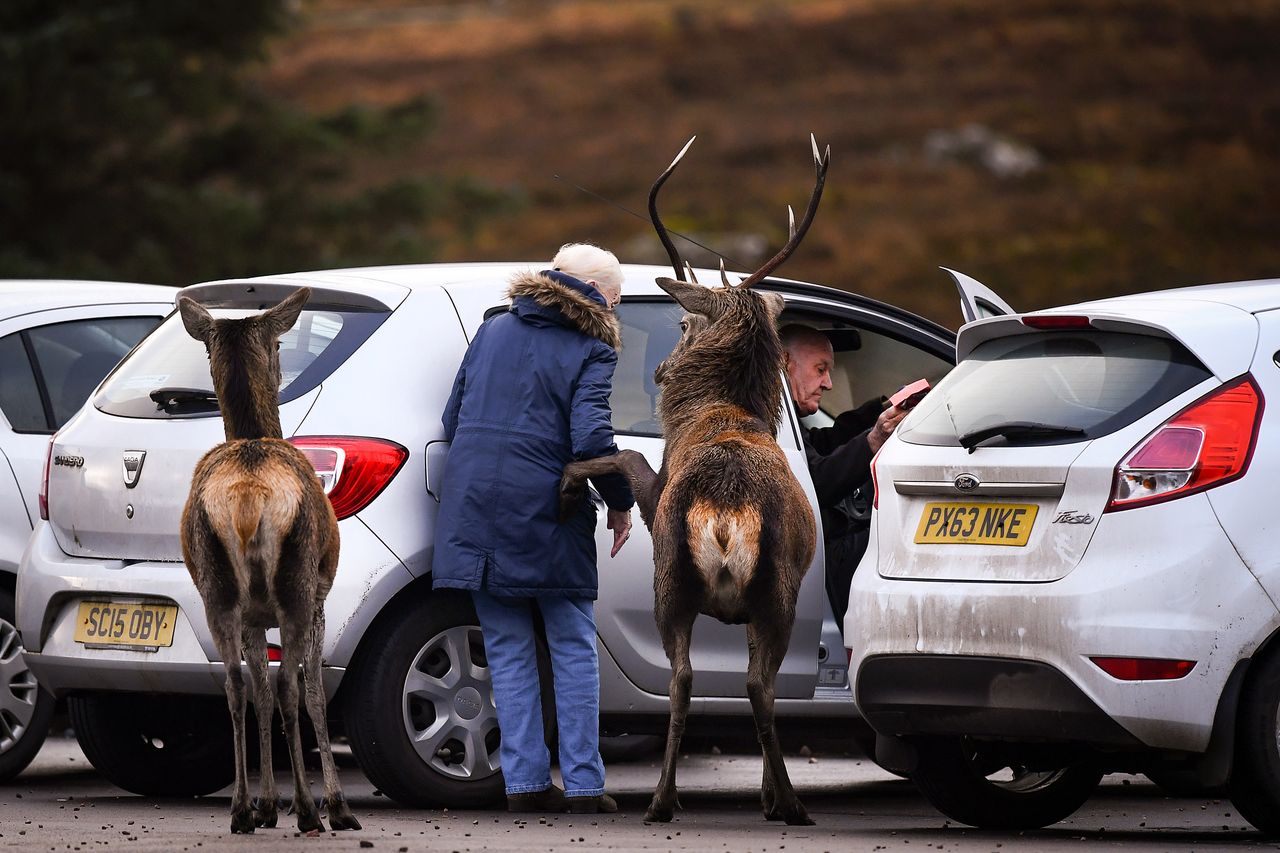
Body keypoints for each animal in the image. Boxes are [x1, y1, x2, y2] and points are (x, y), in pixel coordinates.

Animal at [177, 289, 363, 835]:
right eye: (281, 345)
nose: (285, 367)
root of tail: (247, 496)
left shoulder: (254, 618)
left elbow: (258, 691)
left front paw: (264, 805)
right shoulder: (322, 595)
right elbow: (314, 692)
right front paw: (335, 805)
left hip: (216, 589)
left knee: (236, 685)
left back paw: (241, 808)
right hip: (297, 584)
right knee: (289, 687)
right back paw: (309, 810)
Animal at [560, 134, 829, 824]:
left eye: (683, 324)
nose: (658, 372)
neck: (715, 410)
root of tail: (727, 513)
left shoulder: (657, 495)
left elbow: (630, 460)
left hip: (691, 580)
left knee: (707, 682)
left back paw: (702, 800)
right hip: (755, 589)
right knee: (746, 685)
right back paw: (753, 800)